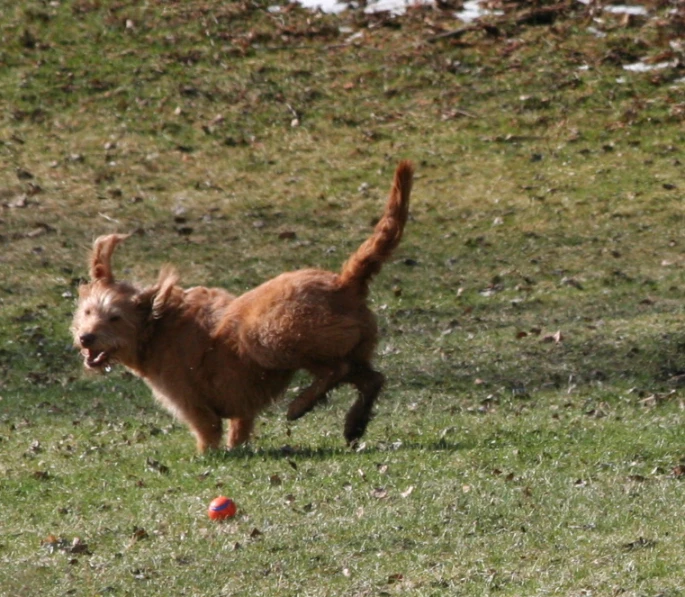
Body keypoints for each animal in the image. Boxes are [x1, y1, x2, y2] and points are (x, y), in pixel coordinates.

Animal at [71, 161, 412, 450]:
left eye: (115, 318)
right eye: (88, 313)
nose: (85, 337)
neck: (156, 324)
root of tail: (344, 282)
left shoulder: (192, 401)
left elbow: (208, 431)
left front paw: (210, 456)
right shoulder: (240, 401)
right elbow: (240, 426)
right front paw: (239, 448)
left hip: (270, 337)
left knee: (336, 369)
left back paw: (301, 405)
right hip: (349, 349)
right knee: (371, 379)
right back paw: (354, 423)